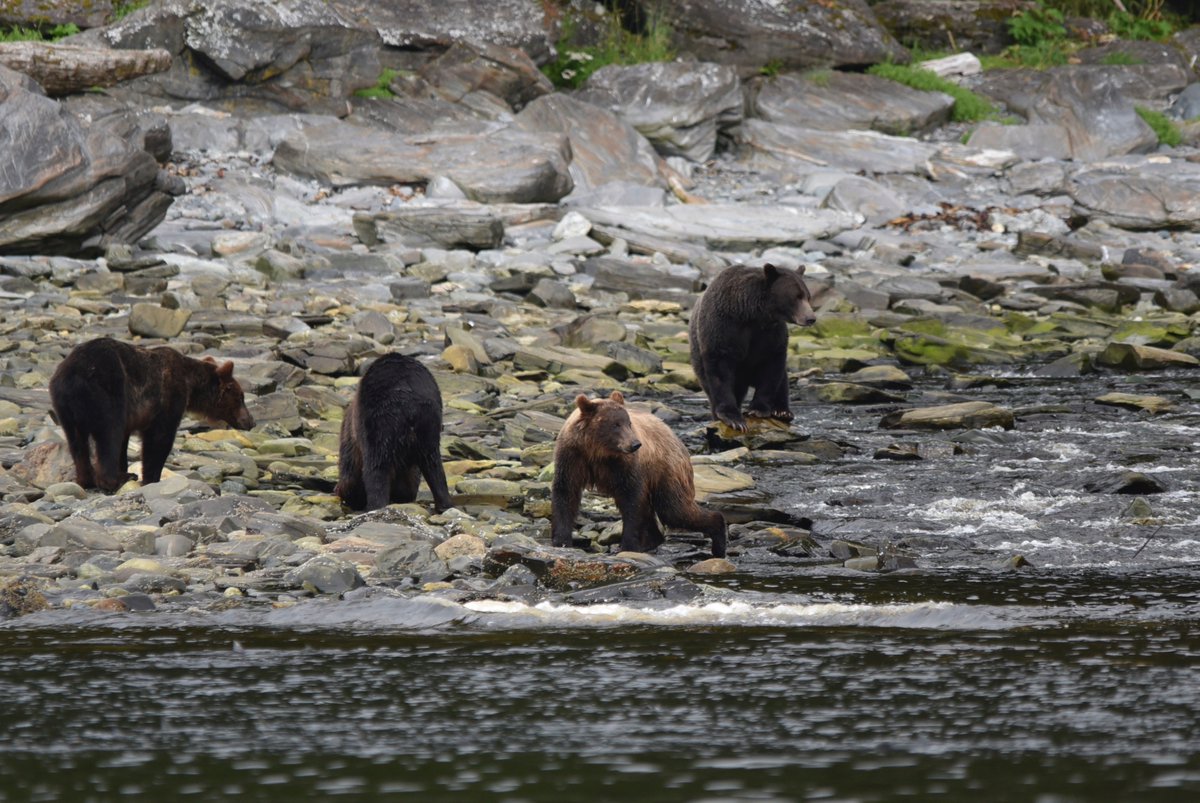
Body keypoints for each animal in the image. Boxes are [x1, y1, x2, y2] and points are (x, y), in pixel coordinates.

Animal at [48, 337, 255, 492]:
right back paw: (116, 480)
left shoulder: (132, 414)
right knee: (109, 434)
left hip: (66, 407)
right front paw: (151, 478)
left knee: (77, 442)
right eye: (241, 397)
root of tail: (72, 374)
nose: (251, 421)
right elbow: (159, 439)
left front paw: (127, 468)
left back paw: (88, 480)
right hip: (108, 391)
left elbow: (125, 441)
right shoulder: (168, 396)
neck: (191, 384)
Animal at [335, 353, 454, 512]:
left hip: (378, 423)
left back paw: (374, 506)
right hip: (429, 425)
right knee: (433, 465)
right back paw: (444, 504)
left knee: (376, 467)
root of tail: (409, 403)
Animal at [551, 391, 727, 558]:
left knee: (674, 509)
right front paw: (562, 542)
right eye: (615, 424)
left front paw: (627, 546)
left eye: (628, 423)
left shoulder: (624, 465)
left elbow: (632, 500)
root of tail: (672, 432)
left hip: (668, 470)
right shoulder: (573, 457)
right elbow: (566, 493)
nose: (635, 444)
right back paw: (653, 541)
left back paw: (718, 540)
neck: (597, 451)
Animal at [688, 263, 816, 432]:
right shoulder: (723, 328)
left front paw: (758, 409)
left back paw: (783, 411)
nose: (811, 318)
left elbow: (771, 368)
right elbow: (720, 370)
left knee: (782, 378)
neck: (752, 314)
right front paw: (734, 418)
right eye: (797, 296)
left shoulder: (771, 334)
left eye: (808, 296)